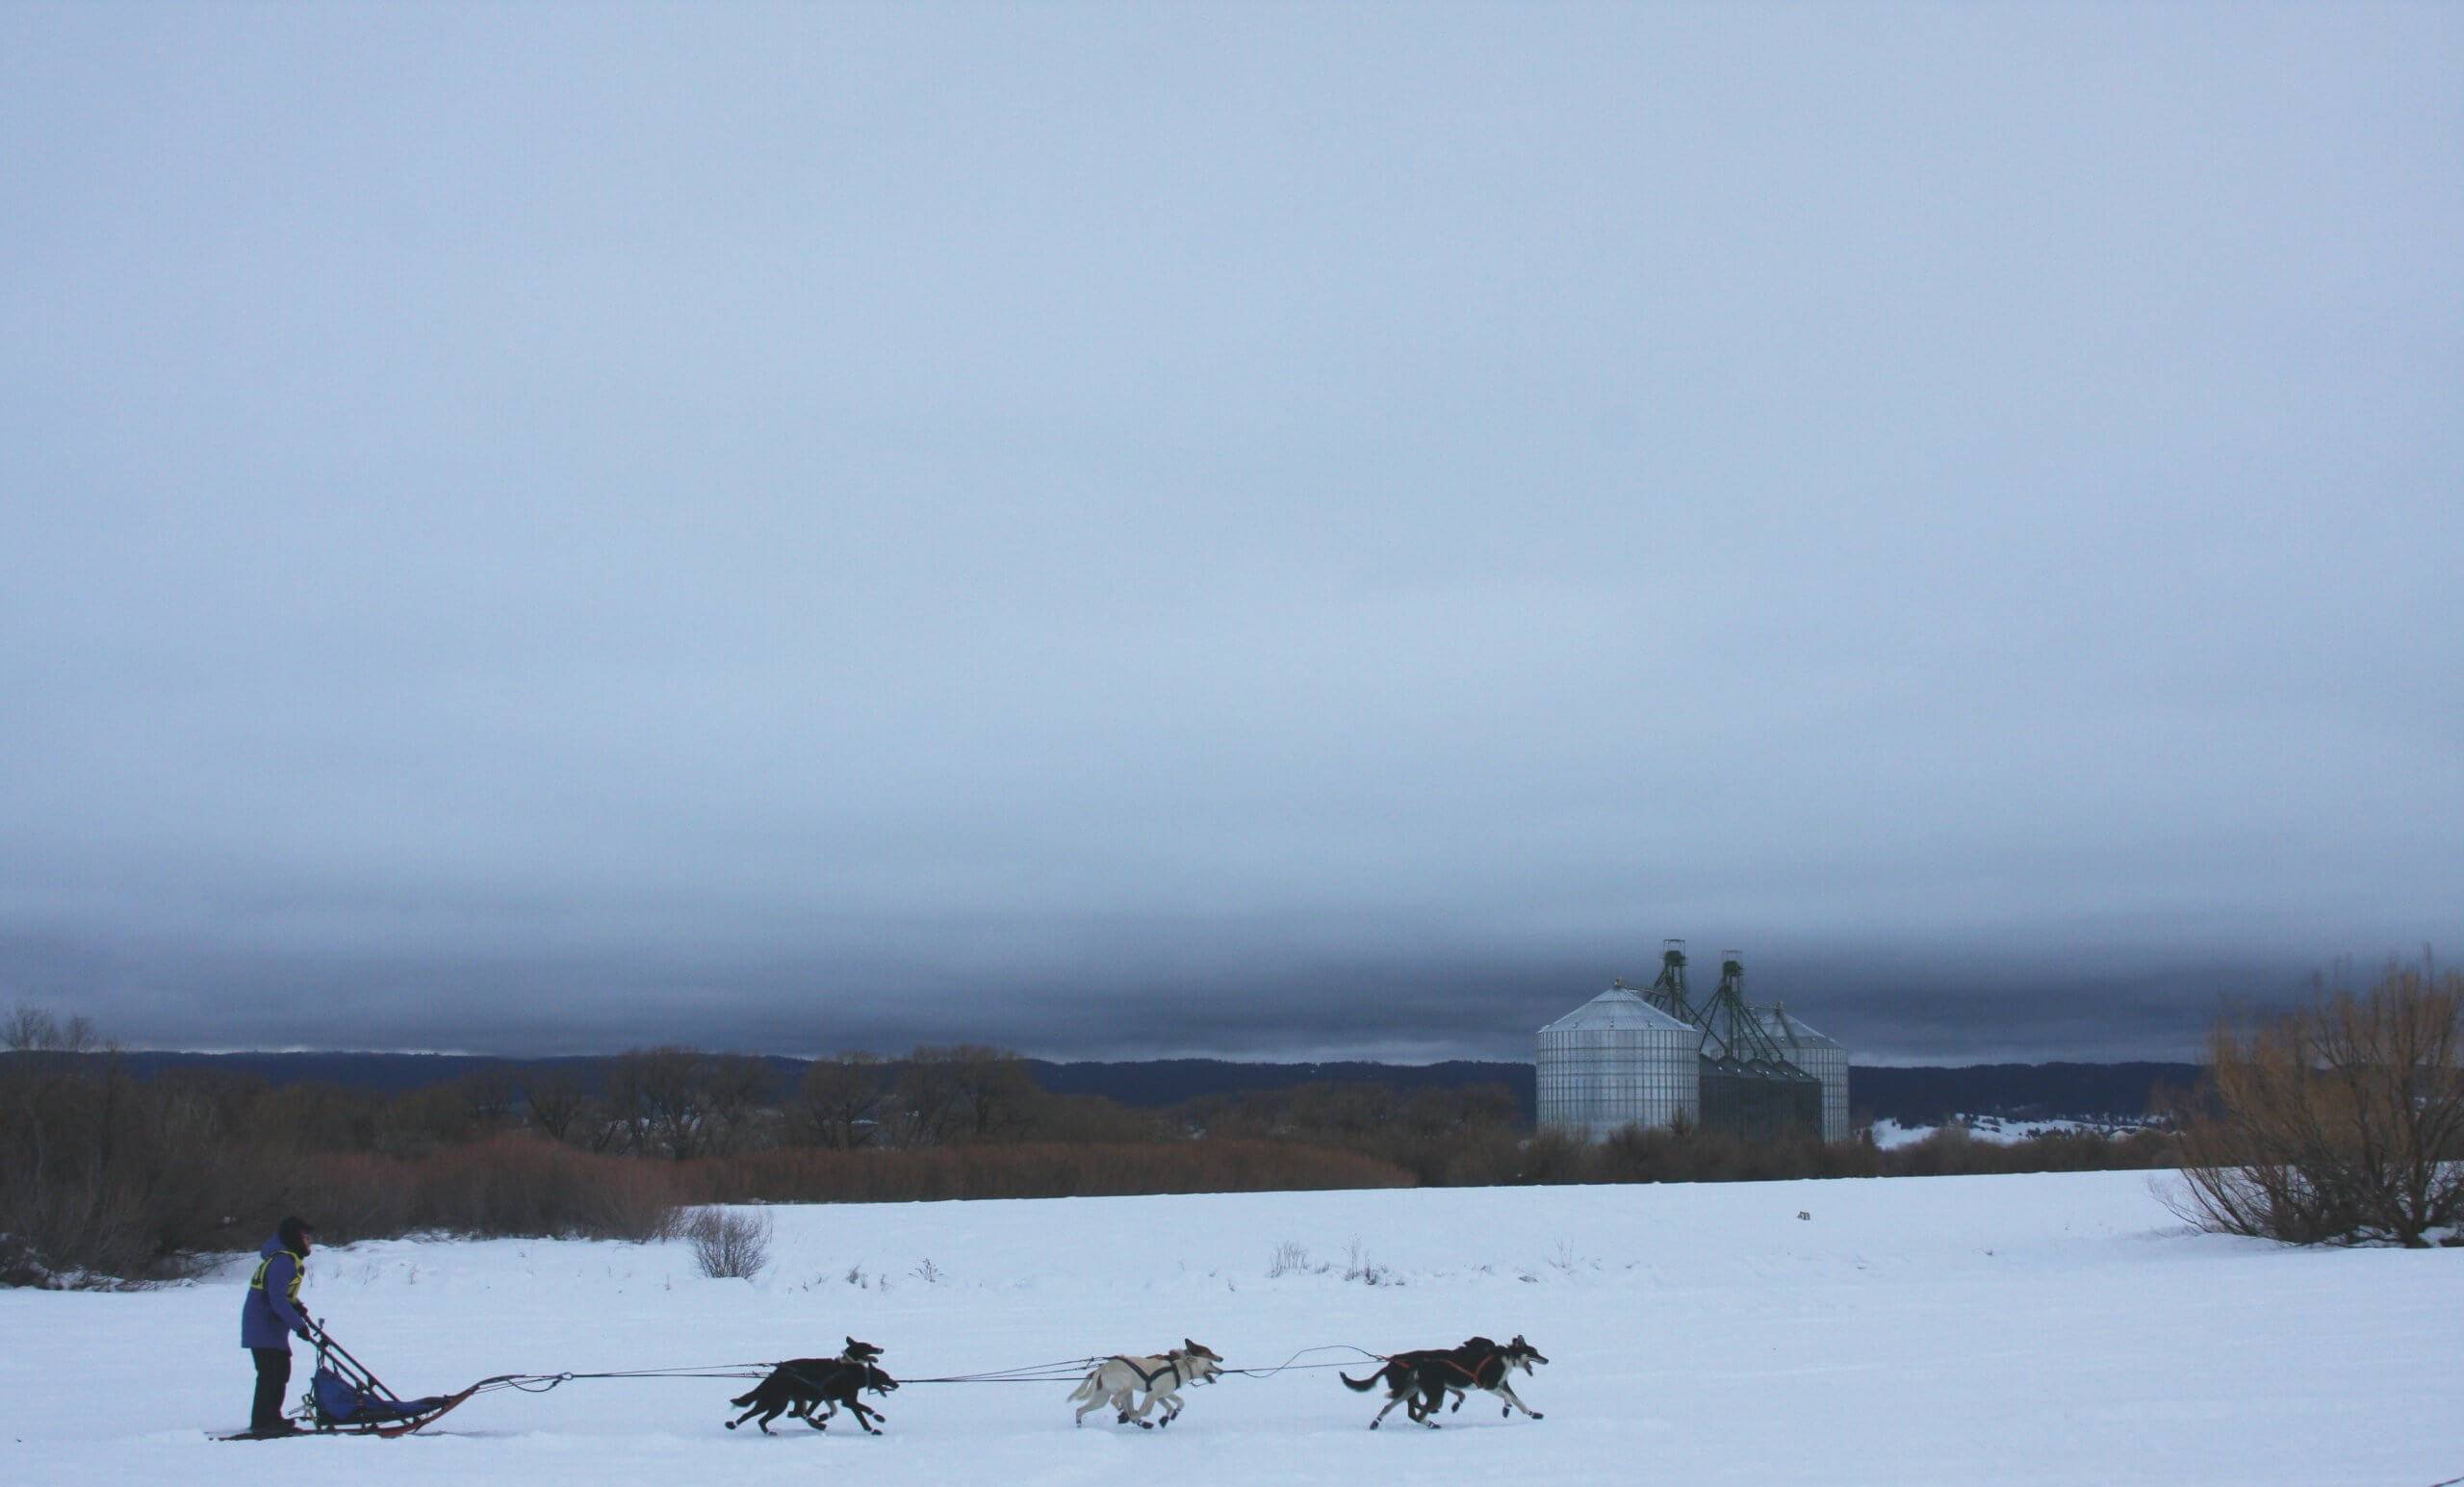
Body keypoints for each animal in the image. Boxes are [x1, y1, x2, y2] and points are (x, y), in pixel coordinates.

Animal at [1069, 1339, 1232, 1427]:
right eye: (1209, 1355)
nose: (1222, 1366)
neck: (1178, 1365)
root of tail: (1100, 1369)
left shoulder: (1162, 1395)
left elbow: (1178, 1403)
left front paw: (1170, 1416)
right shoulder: (1152, 1394)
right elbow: (1145, 1411)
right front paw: (1138, 1417)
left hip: (1103, 1398)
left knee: (1080, 1410)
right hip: (1126, 1388)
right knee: (1116, 1401)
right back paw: (1128, 1416)